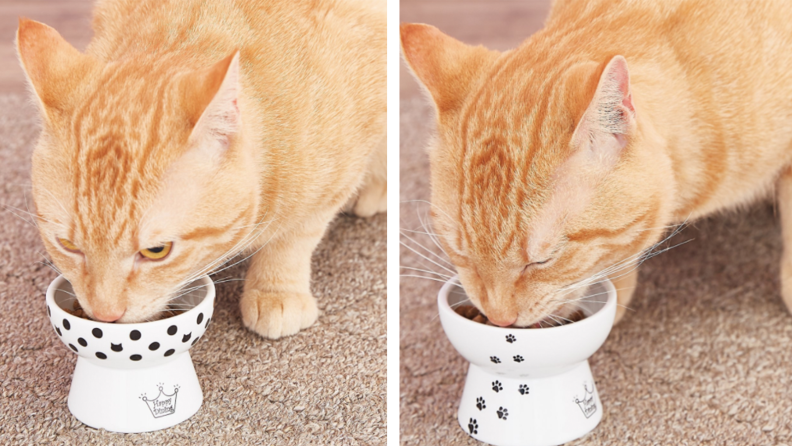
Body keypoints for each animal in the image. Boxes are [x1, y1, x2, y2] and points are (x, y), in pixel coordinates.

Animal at [18, 0, 386, 338]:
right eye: (68, 245)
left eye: (156, 251)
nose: (105, 314)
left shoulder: (336, 173)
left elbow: (295, 234)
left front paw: (276, 287)